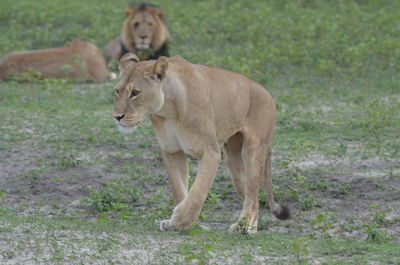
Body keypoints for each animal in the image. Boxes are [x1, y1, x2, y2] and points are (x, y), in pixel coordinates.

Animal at [112, 52, 290, 232]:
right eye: (117, 91)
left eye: (135, 92)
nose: (117, 117)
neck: (168, 110)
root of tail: (267, 93)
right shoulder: (172, 151)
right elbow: (179, 189)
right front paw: (178, 222)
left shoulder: (210, 153)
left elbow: (198, 190)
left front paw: (181, 220)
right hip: (234, 163)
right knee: (253, 201)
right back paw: (250, 229)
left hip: (253, 152)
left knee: (252, 197)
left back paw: (241, 226)